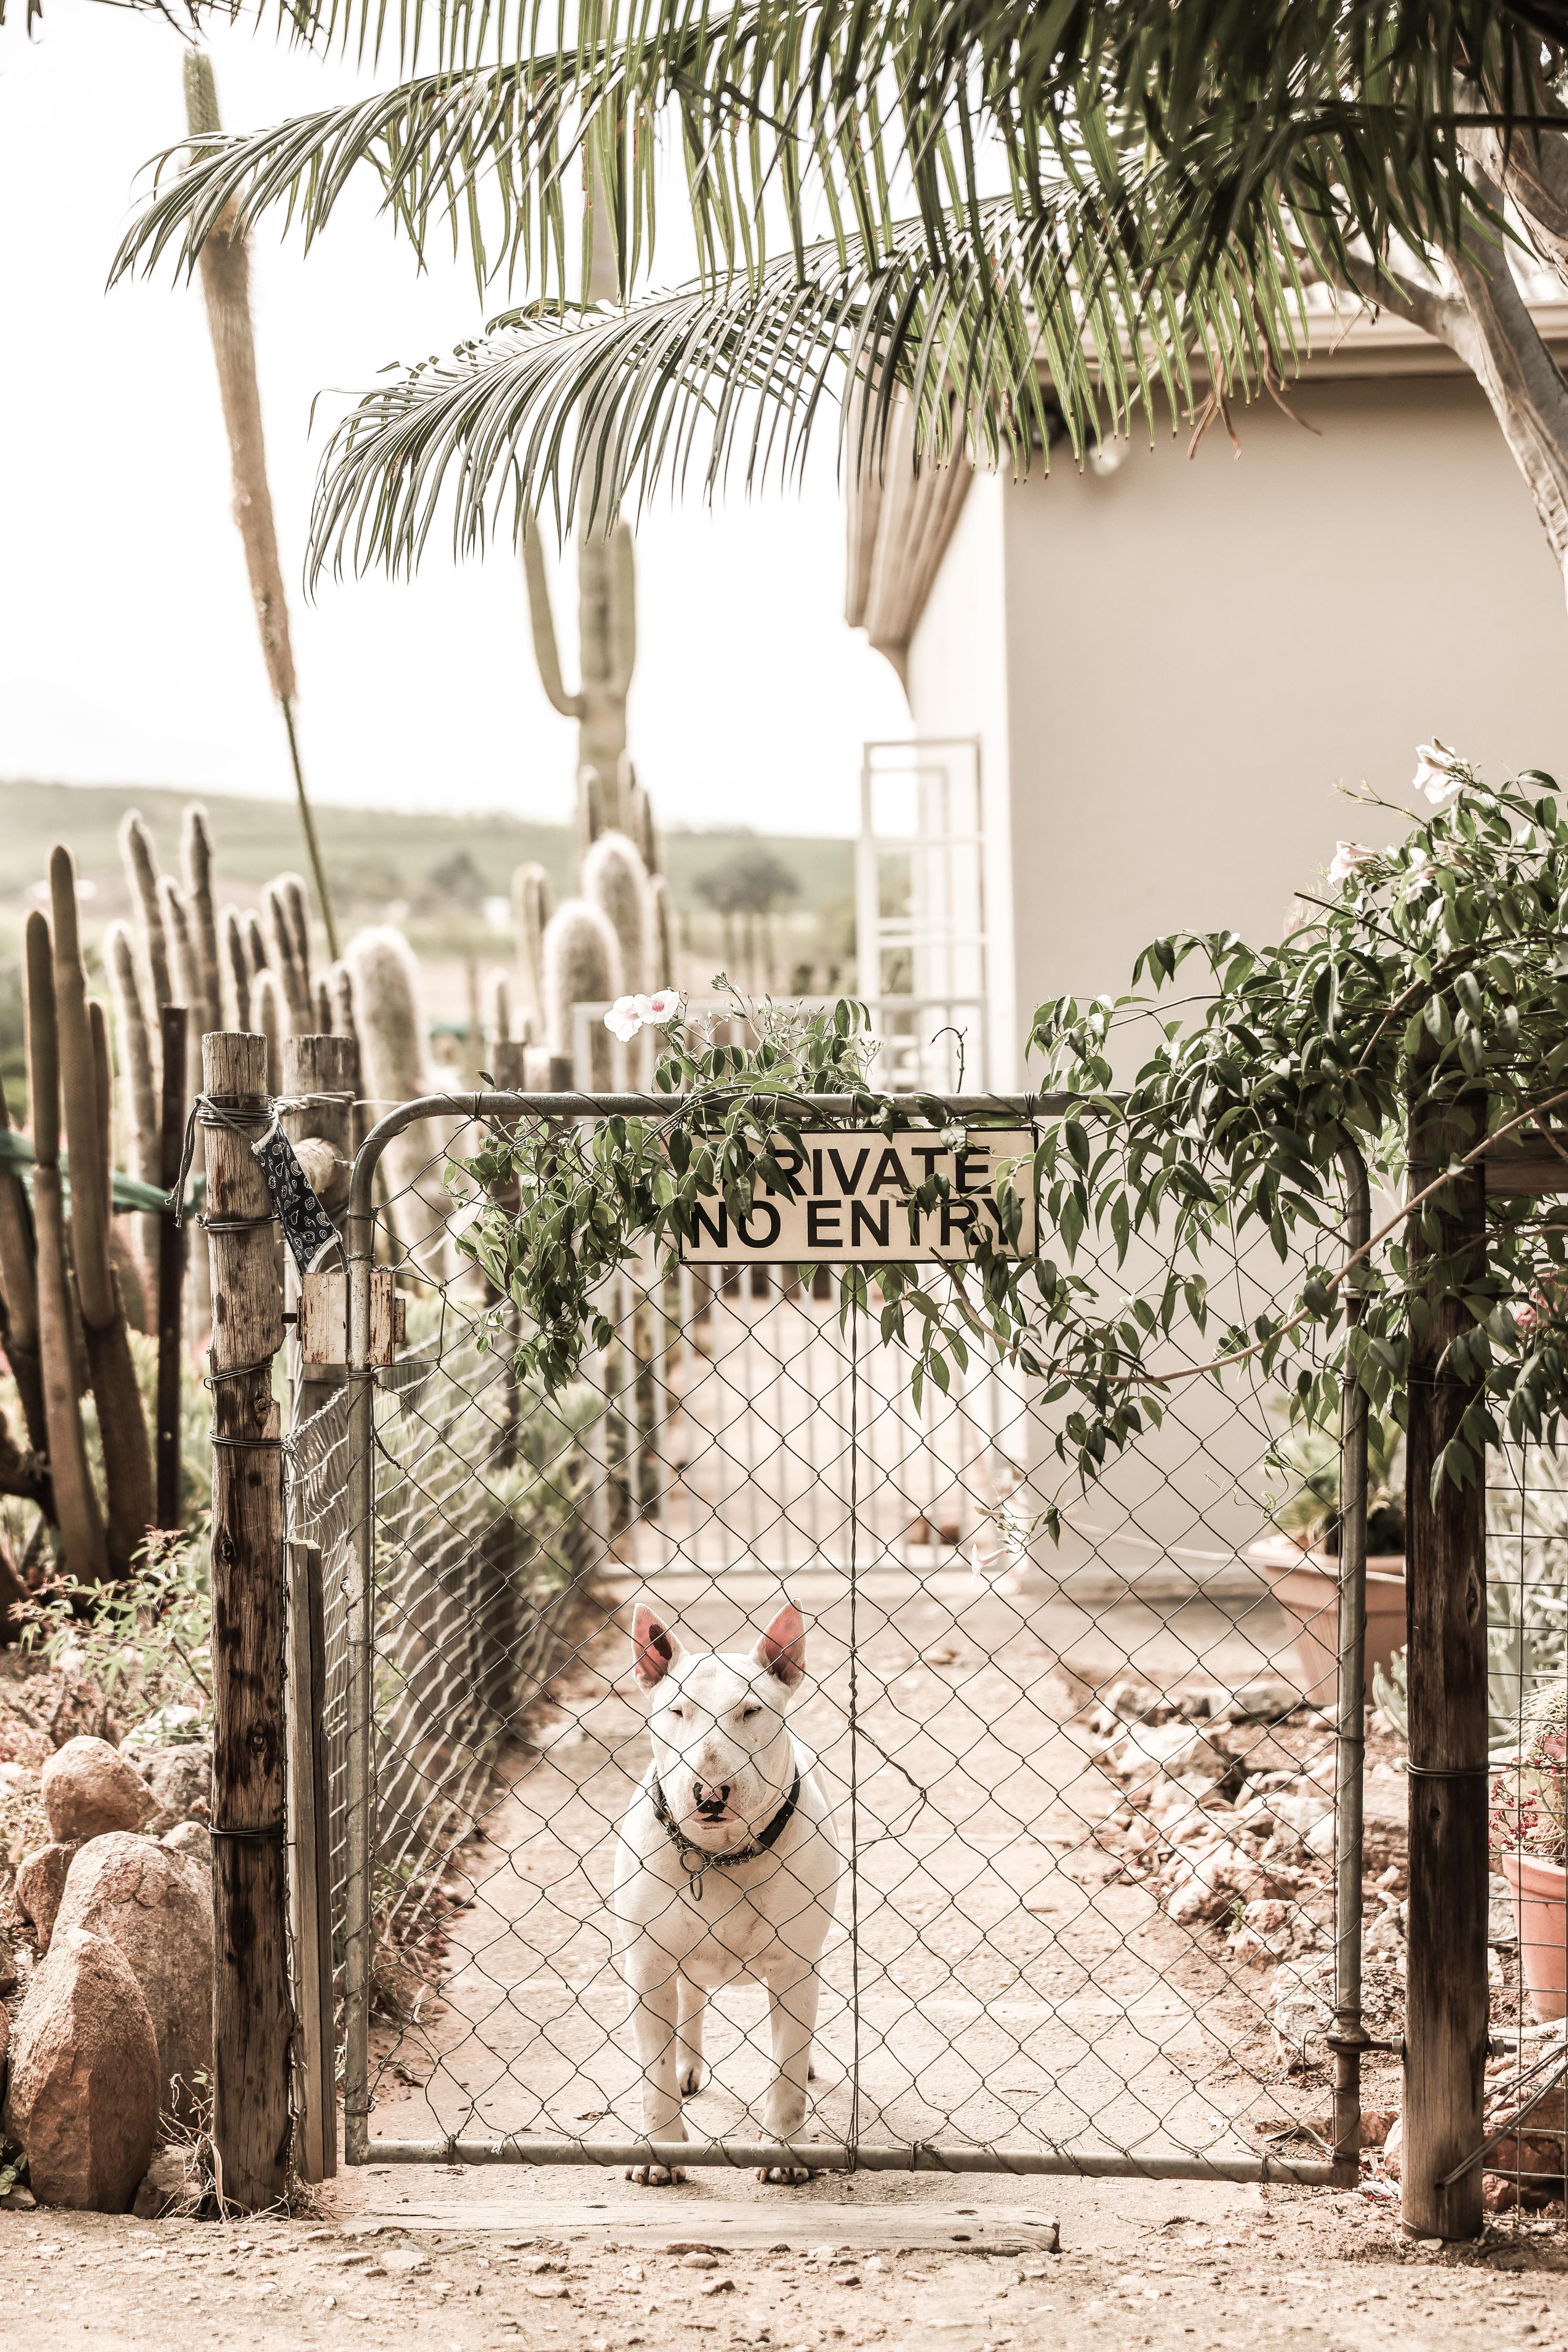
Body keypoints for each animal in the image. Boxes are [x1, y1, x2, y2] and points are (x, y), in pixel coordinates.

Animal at [611, 1599, 841, 2183]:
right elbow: (653, 2072)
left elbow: (785, 2066)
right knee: (690, 2002)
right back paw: (687, 2066)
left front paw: (783, 2149)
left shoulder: (794, 1964)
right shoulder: (647, 1963)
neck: (720, 1855)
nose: (710, 1793)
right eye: (676, 1712)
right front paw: (659, 2150)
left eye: (751, 1711)